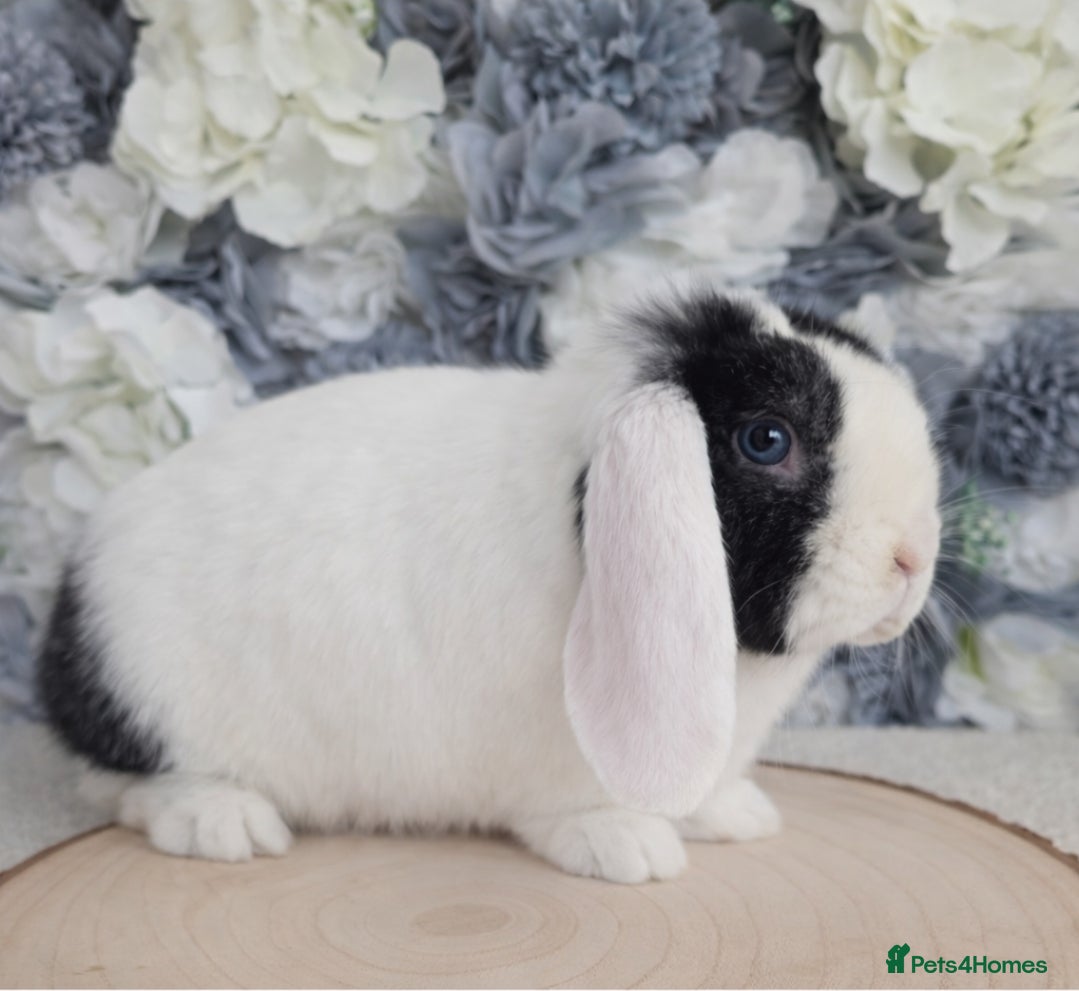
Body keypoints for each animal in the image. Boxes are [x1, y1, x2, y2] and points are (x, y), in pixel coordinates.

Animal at [38, 286, 941, 883]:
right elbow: (579, 810)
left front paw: (735, 813)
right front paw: (630, 848)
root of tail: (63, 626)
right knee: (126, 786)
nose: (912, 558)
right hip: (156, 708)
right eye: (766, 439)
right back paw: (226, 824)